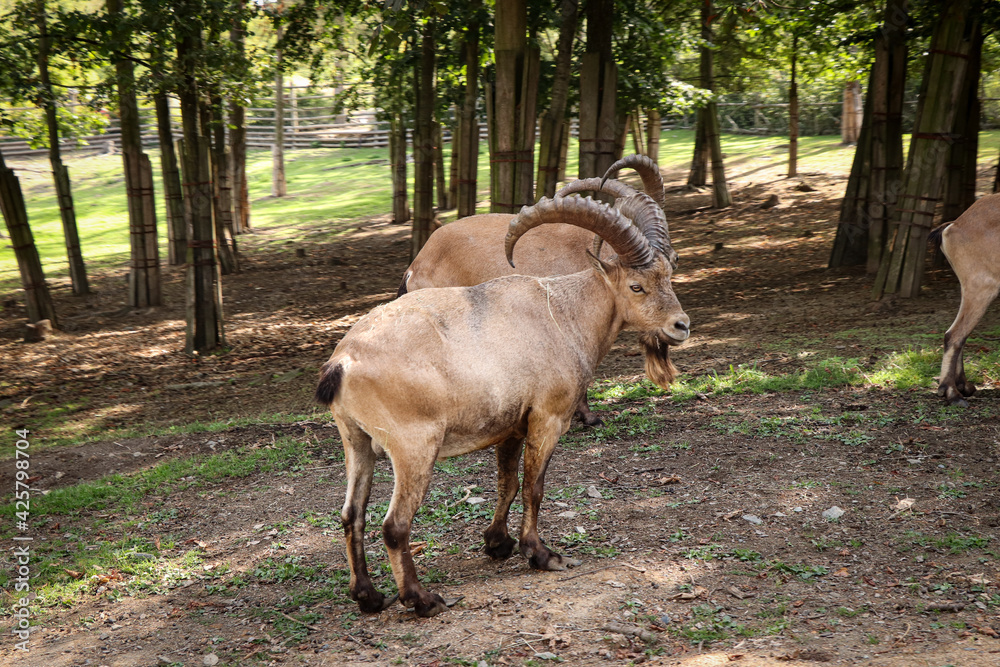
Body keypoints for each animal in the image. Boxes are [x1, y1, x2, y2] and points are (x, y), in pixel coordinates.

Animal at [317, 191, 689, 617]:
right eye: (636, 286)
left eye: (669, 275)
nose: (681, 325)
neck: (563, 315)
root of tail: (343, 363)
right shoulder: (548, 418)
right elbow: (534, 487)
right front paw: (542, 554)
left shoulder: (510, 426)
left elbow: (507, 483)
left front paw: (497, 543)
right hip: (413, 447)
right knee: (394, 525)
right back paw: (421, 598)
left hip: (356, 441)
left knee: (352, 514)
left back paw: (368, 595)